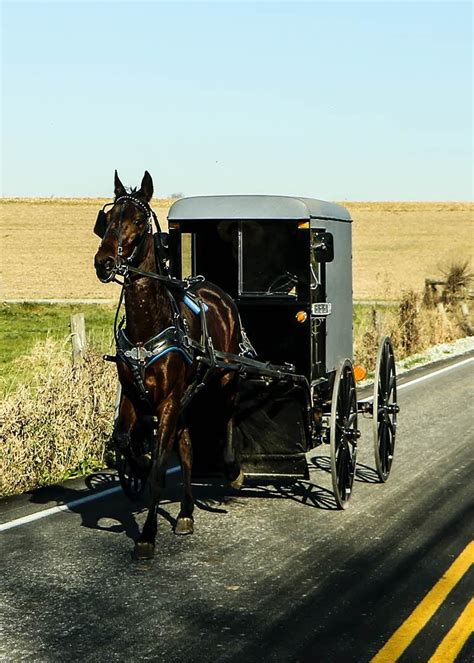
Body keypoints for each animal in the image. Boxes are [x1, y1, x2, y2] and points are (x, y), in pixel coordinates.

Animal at [95, 171, 246, 560]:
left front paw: (147, 535)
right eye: (108, 218)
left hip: (225, 376)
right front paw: (135, 463)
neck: (150, 322)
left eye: (138, 220)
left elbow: (160, 469)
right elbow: (124, 439)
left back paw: (232, 470)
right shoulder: (134, 393)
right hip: (187, 398)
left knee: (228, 414)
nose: (103, 262)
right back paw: (187, 512)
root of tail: (215, 290)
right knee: (188, 447)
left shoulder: (167, 401)